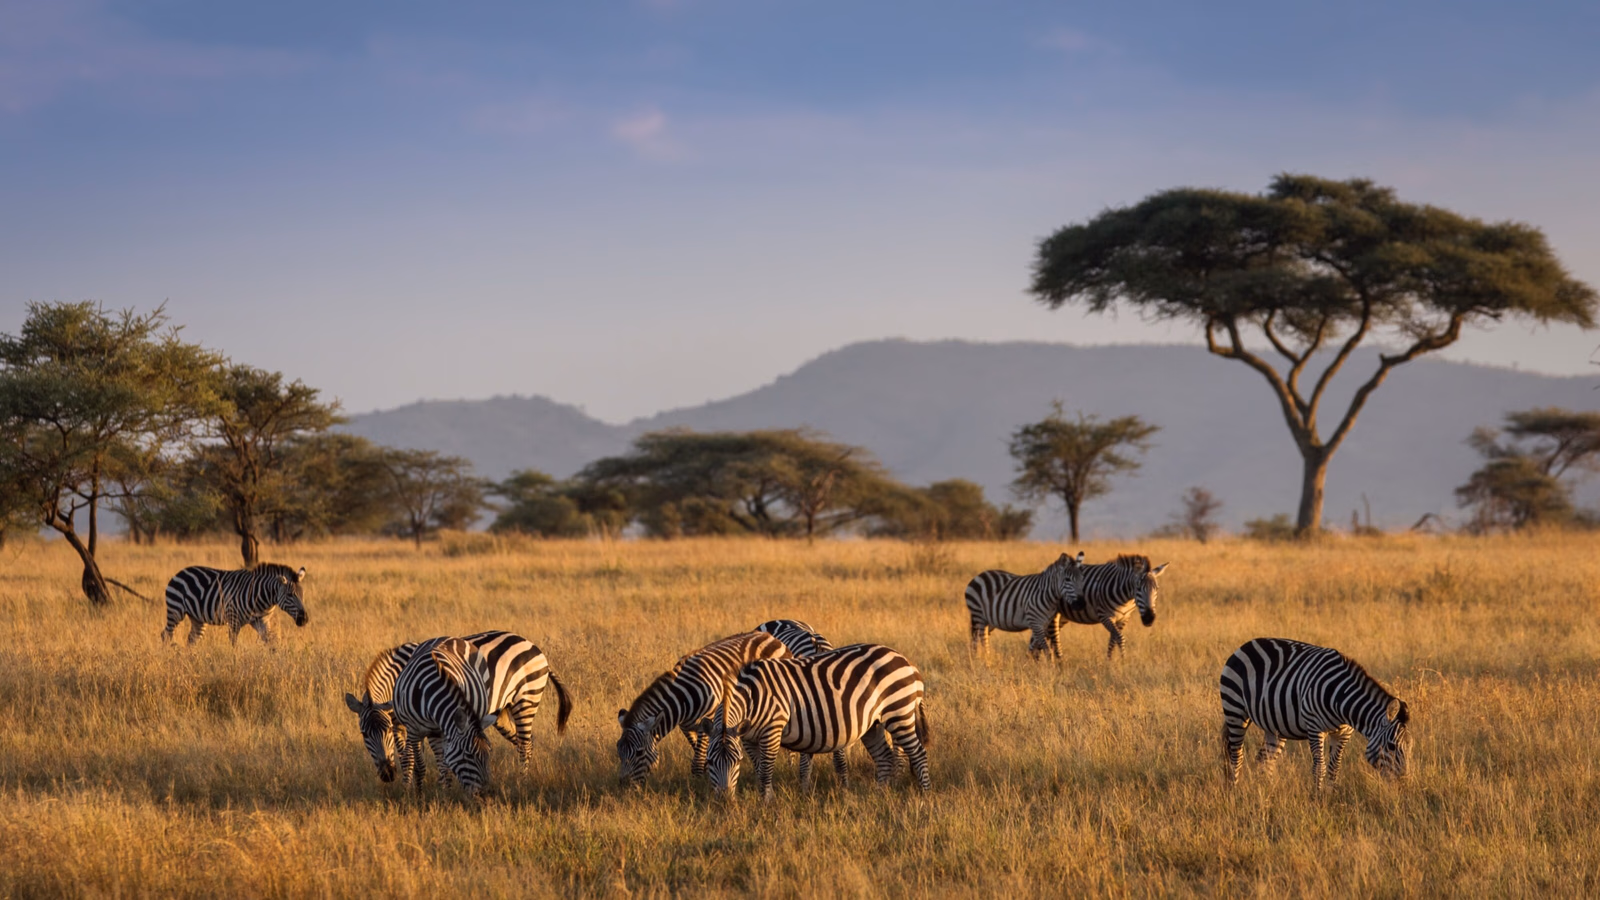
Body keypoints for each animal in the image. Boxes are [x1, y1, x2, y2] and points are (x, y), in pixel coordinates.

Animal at [161, 563, 309, 646]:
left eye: (302, 594)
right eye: (290, 595)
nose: (304, 620)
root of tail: (179, 572)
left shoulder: (262, 621)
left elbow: (272, 642)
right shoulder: (233, 620)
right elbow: (234, 644)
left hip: (197, 618)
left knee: (192, 639)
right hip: (176, 611)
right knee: (166, 635)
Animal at [344, 630, 573, 786]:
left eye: (383, 731)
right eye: (364, 734)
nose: (387, 775)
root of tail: (532, 644)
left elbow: (417, 757)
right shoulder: (402, 724)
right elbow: (407, 758)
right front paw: (408, 787)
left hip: (526, 699)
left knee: (525, 743)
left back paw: (521, 780)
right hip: (501, 714)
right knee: (524, 741)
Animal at [616, 630, 791, 786]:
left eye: (639, 752)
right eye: (619, 751)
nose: (623, 786)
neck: (684, 698)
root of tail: (771, 637)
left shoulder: (707, 722)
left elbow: (697, 763)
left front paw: (698, 786)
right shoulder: (686, 727)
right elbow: (700, 755)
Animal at [706, 643, 930, 800]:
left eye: (736, 762)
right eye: (709, 762)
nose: (724, 801)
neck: (753, 696)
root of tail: (907, 663)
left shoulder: (773, 728)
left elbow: (766, 770)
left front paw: (766, 803)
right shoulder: (747, 738)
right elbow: (759, 766)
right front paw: (765, 797)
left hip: (899, 712)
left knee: (918, 754)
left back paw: (924, 794)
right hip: (873, 725)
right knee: (884, 757)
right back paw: (879, 795)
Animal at [1220, 638, 1412, 790]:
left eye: (1410, 747)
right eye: (1391, 746)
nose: (1404, 784)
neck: (1341, 699)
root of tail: (1247, 644)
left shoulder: (1343, 733)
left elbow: (1335, 768)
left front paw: (1330, 796)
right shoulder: (1315, 728)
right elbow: (1320, 767)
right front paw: (1317, 799)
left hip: (1274, 725)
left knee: (1264, 759)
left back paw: (1266, 793)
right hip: (1235, 710)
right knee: (1235, 756)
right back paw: (1234, 792)